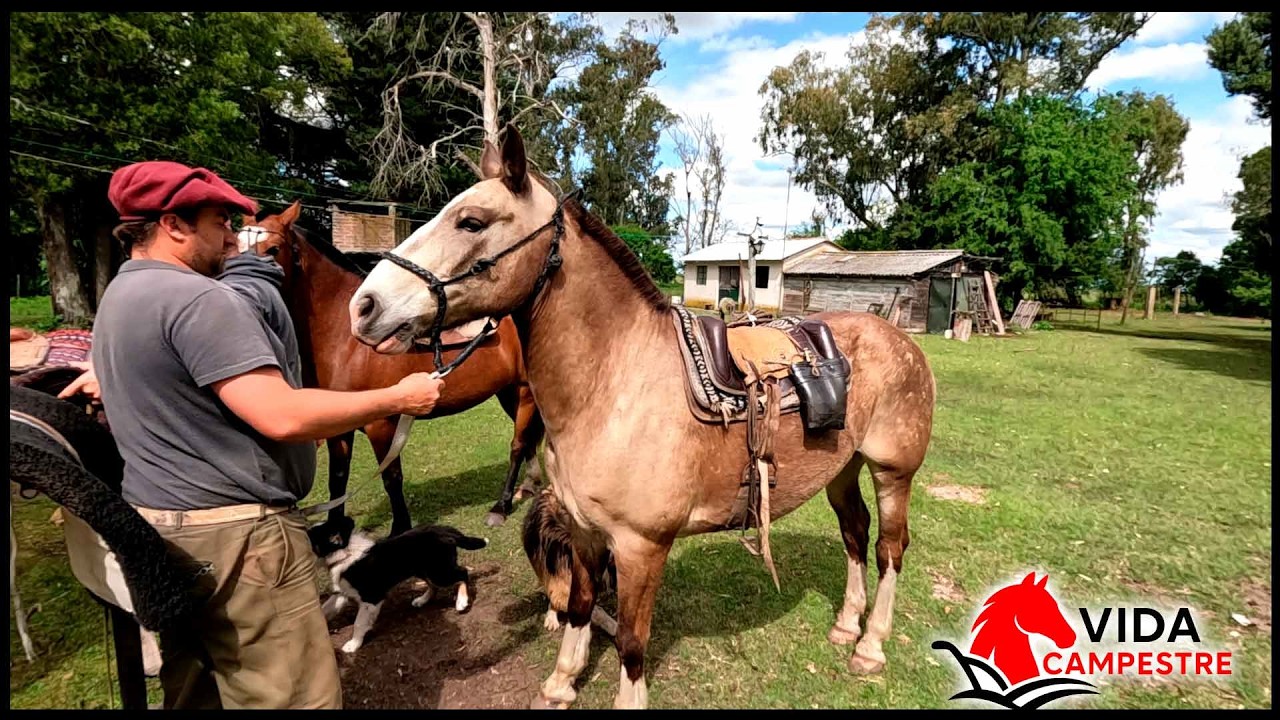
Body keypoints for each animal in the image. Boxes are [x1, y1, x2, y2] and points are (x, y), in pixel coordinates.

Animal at [241, 202, 546, 534]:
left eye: (273, 249)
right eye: (236, 244)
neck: (347, 340)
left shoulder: (382, 424)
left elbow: (391, 478)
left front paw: (400, 528)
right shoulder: (337, 425)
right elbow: (338, 478)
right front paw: (335, 532)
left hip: (525, 393)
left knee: (518, 444)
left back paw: (501, 506)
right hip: (508, 392)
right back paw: (529, 486)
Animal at [348, 124, 936, 709]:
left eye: (470, 221)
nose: (364, 305)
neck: (612, 387)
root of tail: (898, 337)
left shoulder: (640, 547)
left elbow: (632, 639)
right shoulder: (584, 532)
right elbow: (581, 606)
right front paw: (562, 682)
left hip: (893, 473)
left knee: (888, 549)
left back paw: (870, 645)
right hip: (841, 468)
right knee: (854, 533)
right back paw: (845, 624)